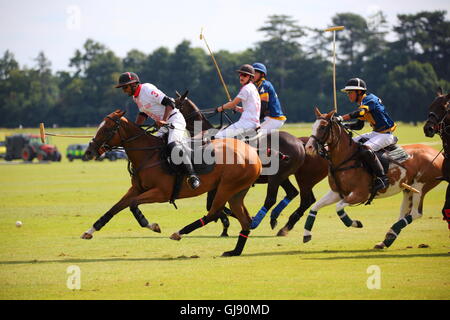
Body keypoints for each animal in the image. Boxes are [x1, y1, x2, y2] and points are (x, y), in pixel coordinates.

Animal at [81, 110, 262, 258]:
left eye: (107, 129)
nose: (89, 151)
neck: (148, 155)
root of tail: (253, 154)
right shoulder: (136, 189)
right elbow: (115, 208)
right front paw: (90, 231)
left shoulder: (161, 193)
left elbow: (132, 205)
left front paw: (152, 226)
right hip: (236, 191)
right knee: (244, 220)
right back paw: (234, 251)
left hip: (226, 187)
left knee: (214, 212)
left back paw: (179, 233)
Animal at [174, 91, 328, 236]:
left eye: (175, 105)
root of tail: (301, 143)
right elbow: (213, 205)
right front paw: (227, 223)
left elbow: (213, 205)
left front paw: (228, 223)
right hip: (286, 177)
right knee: (295, 194)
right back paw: (277, 220)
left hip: (286, 177)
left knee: (277, 199)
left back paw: (261, 221)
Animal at [302, 109, 442, 249]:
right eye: (313, 126)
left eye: (323, 127)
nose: (308, 147)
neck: (344, 159)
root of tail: (439, 154)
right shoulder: (336, 192)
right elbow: (314, 207)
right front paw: (306, 235)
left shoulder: (361, 194)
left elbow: (338, 207)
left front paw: (356, 223)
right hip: (408, 188)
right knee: (404, 212)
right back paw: (386, 239)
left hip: (420, 186)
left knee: (415, 213)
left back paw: (390, 234)